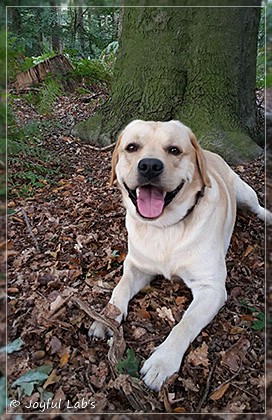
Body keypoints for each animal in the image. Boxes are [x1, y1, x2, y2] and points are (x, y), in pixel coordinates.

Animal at [89, 120, 270, 392]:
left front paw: (162, 362)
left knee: (257, 205)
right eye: (132, 147)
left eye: (174, 150)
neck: (165, 227)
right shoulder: (136, 266)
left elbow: (185, 324)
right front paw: (106, 317)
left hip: (244, 192)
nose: (149, 165)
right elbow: (119, 289)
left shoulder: (211, 288)